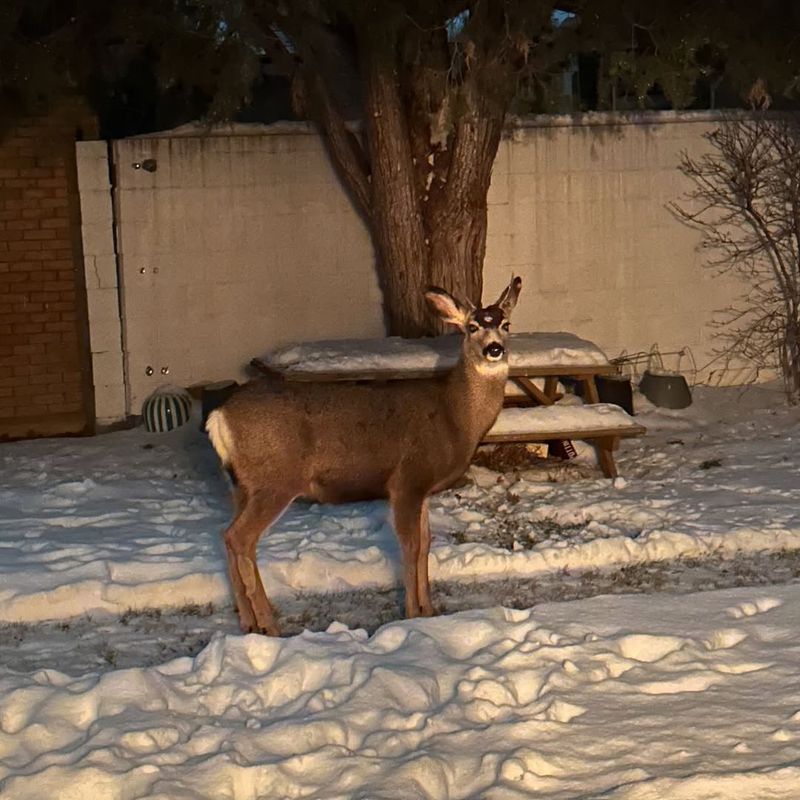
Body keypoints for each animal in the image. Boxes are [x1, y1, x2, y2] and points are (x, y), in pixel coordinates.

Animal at [206, 275, 522, 635]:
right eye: (471, 327)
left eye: (506, 325)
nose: (494, 348)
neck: (453, 416)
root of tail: (218, 417)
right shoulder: (407, 479)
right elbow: (410, 547)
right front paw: (412, 613)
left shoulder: (422, 488)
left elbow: (426, 544)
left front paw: (429, 611)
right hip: (274, 481)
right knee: (240, 538)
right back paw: (268, 626)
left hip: (241, 486)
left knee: (228, 536)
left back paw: (248, 622)